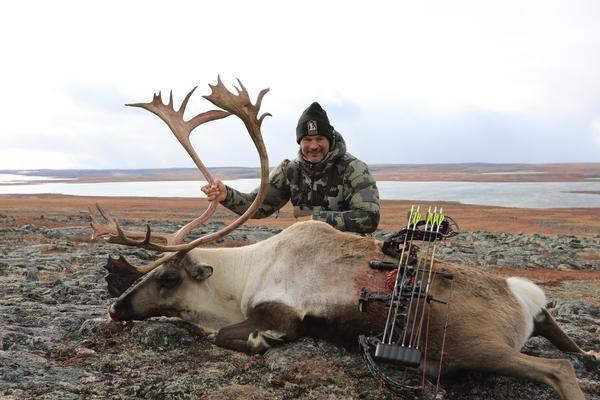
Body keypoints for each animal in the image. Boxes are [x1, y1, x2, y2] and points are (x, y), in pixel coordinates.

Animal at [89, 77, 592, 400]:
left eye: (169, 278)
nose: (114, 309)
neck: (242, 276)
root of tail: (522, 296)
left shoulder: (283, 312)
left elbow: (230, 335)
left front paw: (258, 341)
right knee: (575, 350)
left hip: (474, 345)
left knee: (559, 369)